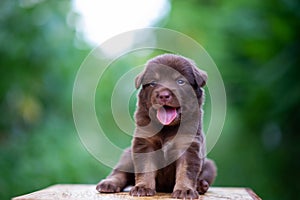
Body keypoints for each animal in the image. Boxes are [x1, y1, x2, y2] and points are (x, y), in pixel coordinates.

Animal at [97, 54, 217, 199]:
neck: (166, 127)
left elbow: (185, 171)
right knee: (119, 172)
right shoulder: (144, 143)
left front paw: (185, 190)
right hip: (128, 155)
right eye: (153, 83)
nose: (163, 95)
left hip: (210, 166)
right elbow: (145, 167)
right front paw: (142, 187)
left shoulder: (188, 145)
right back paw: (108, 183)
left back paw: (201, 185)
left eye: (180, 81)